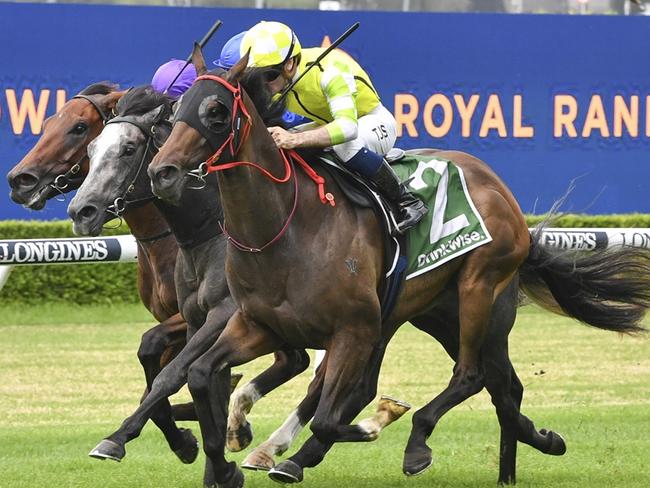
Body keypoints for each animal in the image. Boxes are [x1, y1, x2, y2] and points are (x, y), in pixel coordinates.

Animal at [144, 46, 648, 488]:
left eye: (215, 111)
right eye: (175, 110)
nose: (161, 171)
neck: (285, 229)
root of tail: (499, 187)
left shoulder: (353, 329)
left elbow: (328, 417)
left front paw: (372, 425)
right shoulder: (258, 325)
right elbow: (200, 375)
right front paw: (225, 463)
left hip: (480, 289)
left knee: (472, 375)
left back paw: (418, 443)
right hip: (432, 312)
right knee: (504, 387)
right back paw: (535, 444)